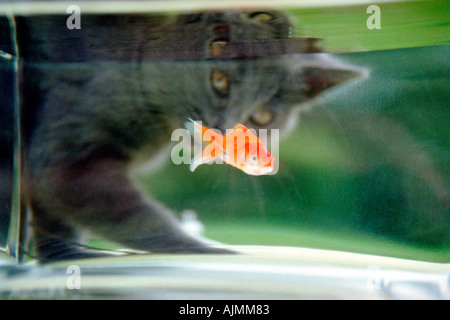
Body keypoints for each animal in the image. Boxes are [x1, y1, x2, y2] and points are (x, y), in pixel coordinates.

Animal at [8, 11, 364, 262]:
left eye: (261, 116)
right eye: (219, 82)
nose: (223, 129)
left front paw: (67, 255)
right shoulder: (68, 150)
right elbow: (133, 218)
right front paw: (220, 252)